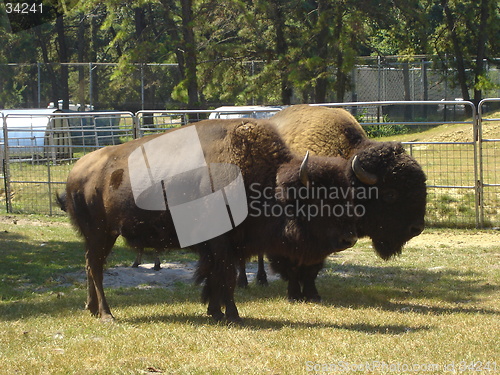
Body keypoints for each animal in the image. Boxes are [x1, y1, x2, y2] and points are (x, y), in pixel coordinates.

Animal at [61, 118, 360, 324]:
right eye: (319, 201)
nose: (349, 237)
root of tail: (77, 170)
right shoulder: (221, 243)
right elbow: (225, 276)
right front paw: (234, 315)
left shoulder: (224, 246)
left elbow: (215, 275)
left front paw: (214, 311)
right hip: (102, 234)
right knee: (96, 268)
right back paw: (106, 314)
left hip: (97, 237)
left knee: (90, 265)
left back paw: (91, 308)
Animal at [256, 105, 428, 302]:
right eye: (390, 193)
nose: (417, 228)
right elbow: (291, 265)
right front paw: (294, 294)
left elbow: (312, 268)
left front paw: (313, 294)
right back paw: (255, 280)